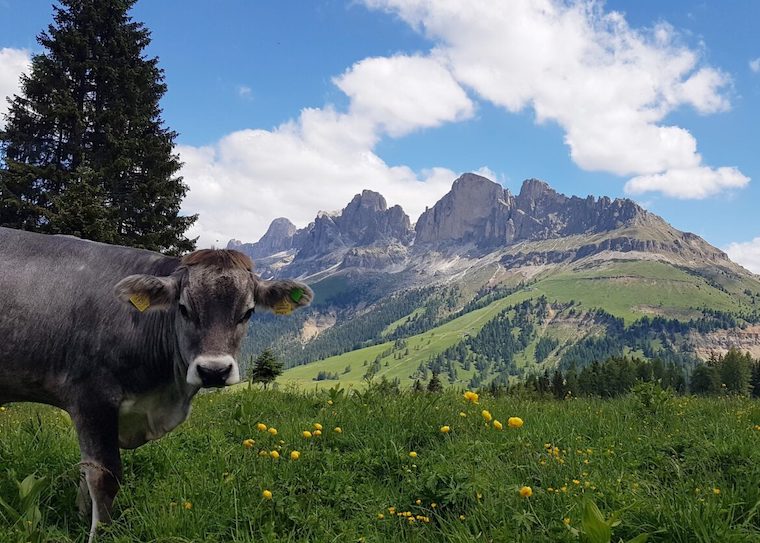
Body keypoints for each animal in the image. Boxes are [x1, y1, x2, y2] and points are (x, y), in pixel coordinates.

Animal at [0, 226, 312, 541]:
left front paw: (80, 515)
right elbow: (103, 475)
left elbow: (85, 470)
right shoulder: (91, 398)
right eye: (184, 309)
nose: (214, 371)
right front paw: (99, 532)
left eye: (247, 312)